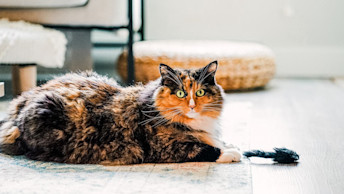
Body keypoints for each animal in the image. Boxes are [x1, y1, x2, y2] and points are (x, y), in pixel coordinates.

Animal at [0, 61, 241, 164]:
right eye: (181, 93)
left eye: (200, 92)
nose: (191, 106)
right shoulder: (166, 148)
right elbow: (207, 149)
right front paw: (232, 152)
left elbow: (215, 141)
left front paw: (231, 145)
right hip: (48, 110)